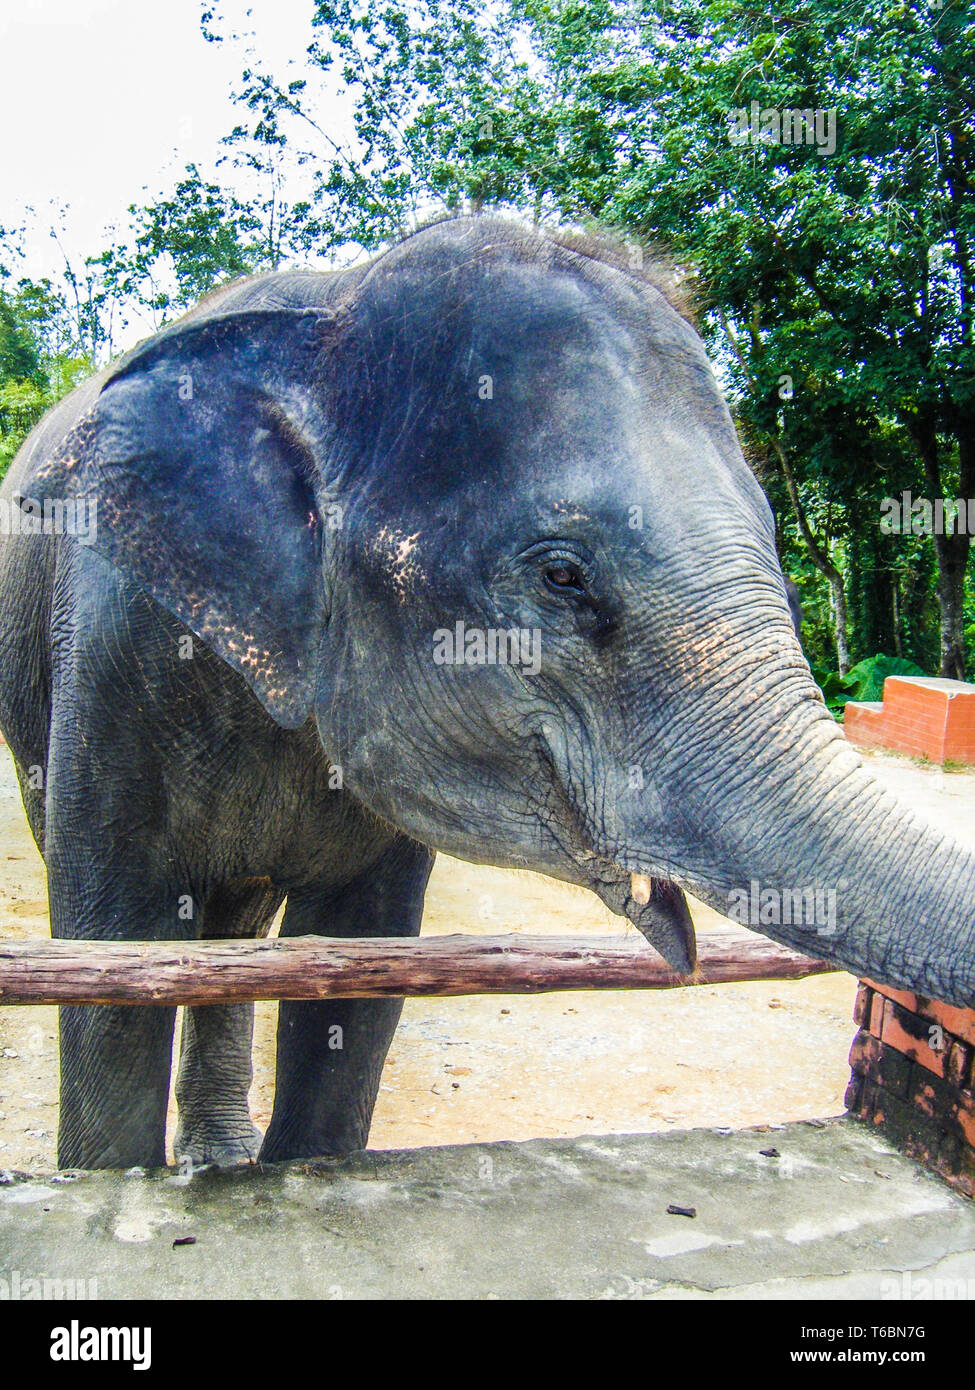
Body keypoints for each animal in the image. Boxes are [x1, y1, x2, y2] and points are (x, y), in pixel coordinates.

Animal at [0, 219, 968, 1173]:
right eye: (562, 577)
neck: (339, 296)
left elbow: (359, 971)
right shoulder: (110, 661)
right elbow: (112, 958)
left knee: (236, 923)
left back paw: (221, 1161)